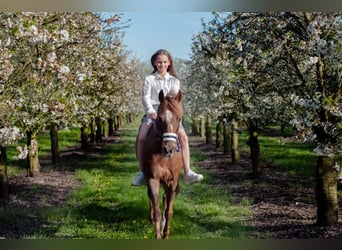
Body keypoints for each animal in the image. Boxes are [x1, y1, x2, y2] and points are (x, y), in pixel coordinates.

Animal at [140, 89, 183, 238]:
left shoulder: (173, 181)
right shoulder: (153, 179)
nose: (168, 149)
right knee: (151, 197)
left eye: (179, 118)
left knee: (165, 198)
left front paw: (166, 234)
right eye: (159, 118)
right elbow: (157, 209)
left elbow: (168, 211)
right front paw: (158, 235)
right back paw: (151, 218)